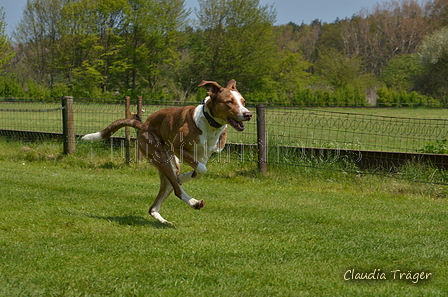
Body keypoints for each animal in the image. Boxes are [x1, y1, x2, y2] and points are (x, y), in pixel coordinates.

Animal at [82, 80, 252, 223]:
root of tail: (143, 125)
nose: (248, 114)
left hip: (171, 163)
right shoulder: (178, 148)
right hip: (161, 157)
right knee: (176, 190)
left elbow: (198, 171)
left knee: (157, 202)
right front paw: (183, 179)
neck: (210, 124)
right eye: (229, 101)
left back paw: (164, 217)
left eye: (243, 102)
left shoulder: (205, 154)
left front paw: (183, 178)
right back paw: (193, 202)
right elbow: (202, 169)